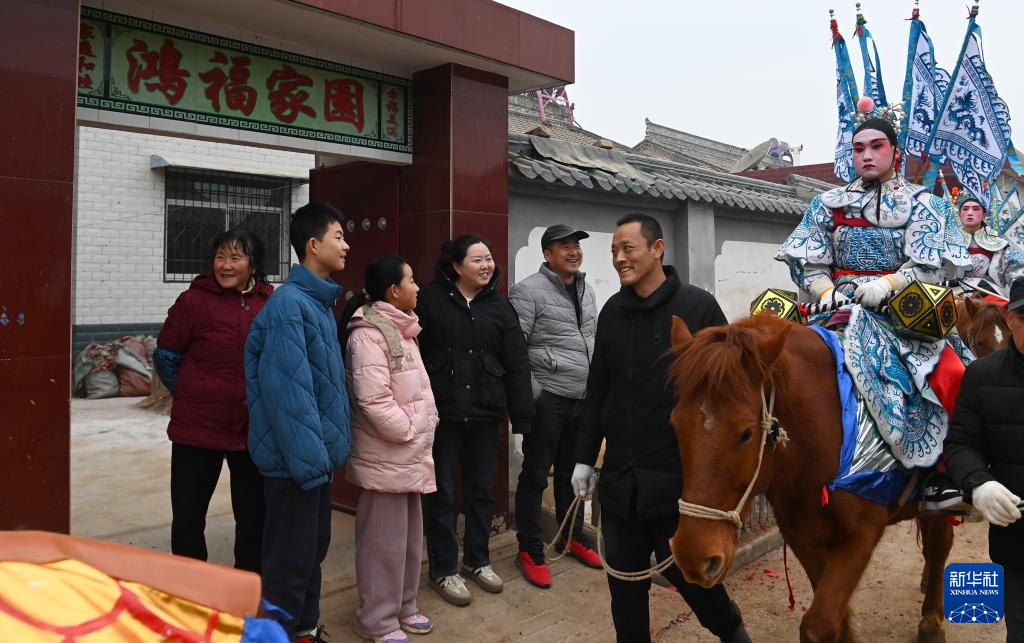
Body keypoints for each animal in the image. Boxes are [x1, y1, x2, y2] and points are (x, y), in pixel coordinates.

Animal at [663, 317, 950, 643]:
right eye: (676, 424)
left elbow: (819, 625)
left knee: (939, 545)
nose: (693, 555)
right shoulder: (803, 537)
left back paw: (932, 620)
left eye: (746, 433)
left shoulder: (862, 535)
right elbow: (838, 619)